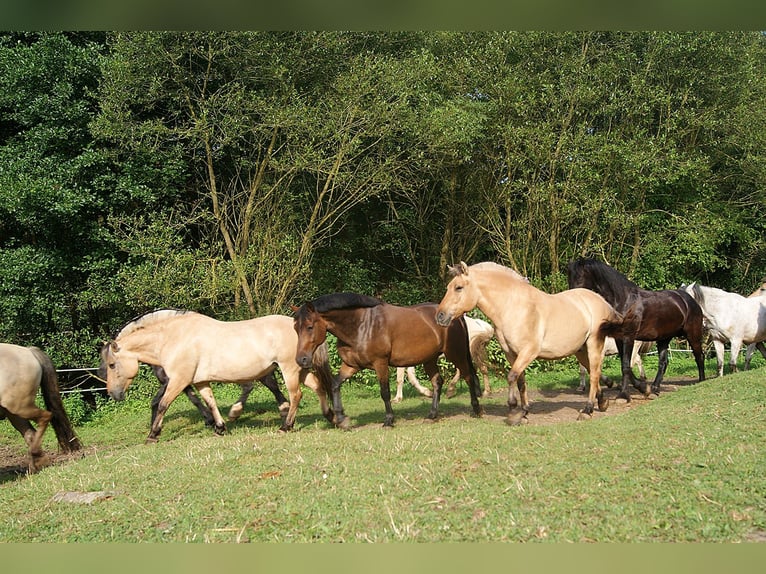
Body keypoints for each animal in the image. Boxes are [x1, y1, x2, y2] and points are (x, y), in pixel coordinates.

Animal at [0, 344, 81, 474]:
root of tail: (29, 351)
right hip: (14, 412)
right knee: (30, 433)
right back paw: (37, 464)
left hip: (19, 407)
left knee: (46, 416)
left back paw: (36, 456)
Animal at [100, 308, 334, 444]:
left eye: (111, 365)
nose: (114, 394)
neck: (173, 337)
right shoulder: (200, 382)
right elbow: (209, 402)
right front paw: (219, 427)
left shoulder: (178, 380)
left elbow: (163, 405)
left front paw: (153, 435)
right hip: (301, 368)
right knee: (318, 386)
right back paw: (329, 416)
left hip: (289, 369)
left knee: (296, 395)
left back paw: (286, 426)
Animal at [292, 294, 484, 430]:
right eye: (295, 328)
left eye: (310, 326)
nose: (301, 359)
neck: (362, 325)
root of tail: (456, 316)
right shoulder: (351, 366)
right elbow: (334, 385)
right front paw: (340, 419)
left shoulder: (381, 364)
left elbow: (384, 392)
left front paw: (389, 420)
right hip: (429, 358)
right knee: (438, 382)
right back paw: (432, 415)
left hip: (455, 354)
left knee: (468, 376)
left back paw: (477, 410)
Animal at [436, 262, 628, 424]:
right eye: (448, 287)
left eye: (458, 288)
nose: (440, 316)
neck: (512, 307)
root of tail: (599, 300)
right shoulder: (512, 354)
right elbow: (521, 381)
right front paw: (524, 412)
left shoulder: (529, 351)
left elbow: (512, 376)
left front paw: (514, 412)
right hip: (580, 351)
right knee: (593, 372)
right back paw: (602, 402)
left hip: (594, 345)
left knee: (594, 374)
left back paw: (587, 410)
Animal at [564, 258, 708, 402]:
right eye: (569, 275)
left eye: (580, 276)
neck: (625, 301)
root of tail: (688, 300)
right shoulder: (619, 339)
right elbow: (626, 365)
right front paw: (642, 388)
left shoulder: (628, 337)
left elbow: (626, 365)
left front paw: (623, 395)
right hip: (663, 339)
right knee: (663, 362)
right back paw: (655, 388)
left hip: (693, 335)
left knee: (699, 356)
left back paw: (701, 381)